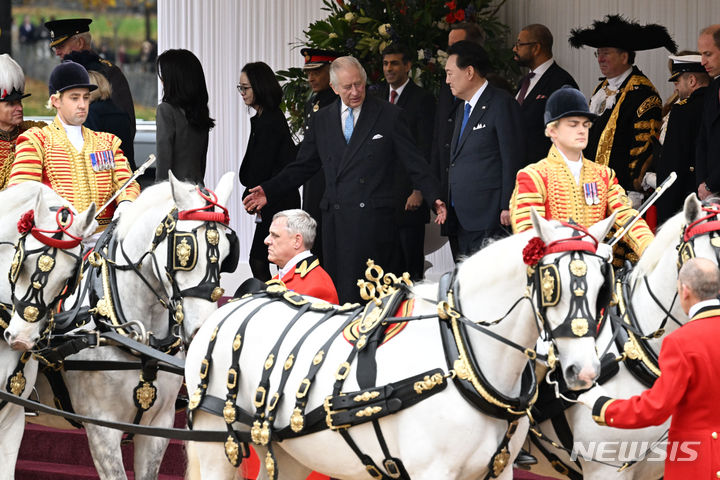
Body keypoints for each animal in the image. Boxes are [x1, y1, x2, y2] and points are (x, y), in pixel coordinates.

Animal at [184, 211, 612, 480]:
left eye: (601, 286)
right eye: (551, 284)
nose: (584, 371)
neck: (460, 356)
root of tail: (230, 306)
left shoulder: (500, 469)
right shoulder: (432, 472)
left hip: (288, 451)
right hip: (216, 441)